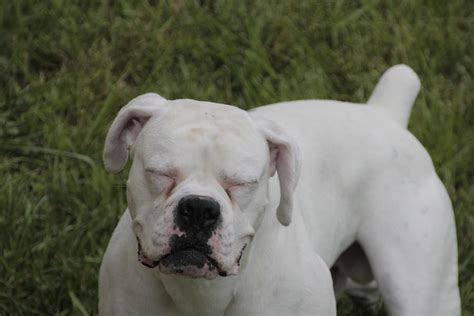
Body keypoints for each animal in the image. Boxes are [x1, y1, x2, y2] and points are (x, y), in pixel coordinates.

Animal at [99, 65, 460, 314]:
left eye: (243, 183)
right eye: (159, 173)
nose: (200, 209)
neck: (202, 293)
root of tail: (384, 113)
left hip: (420, 292)